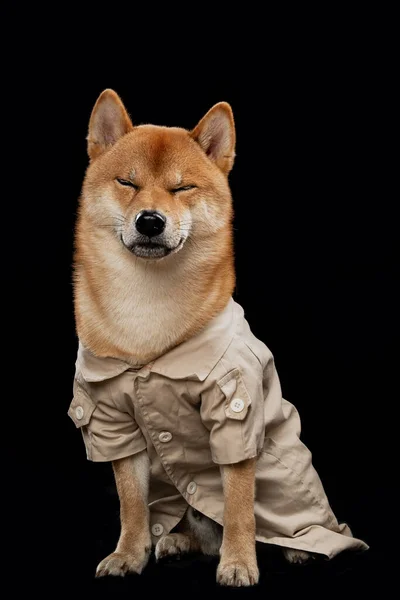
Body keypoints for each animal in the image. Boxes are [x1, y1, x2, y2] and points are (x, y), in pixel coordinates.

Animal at [70, 91, 368, 588]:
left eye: (182, 188)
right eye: (128, 182)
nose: (149, 221)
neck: (147, 320)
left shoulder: (234, 411)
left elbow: (239, 505)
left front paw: (239, 563)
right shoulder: (111, 419)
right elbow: (131, 503)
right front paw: (128, 554)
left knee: (300, 525)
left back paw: (298, 548)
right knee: (195, 528)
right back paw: (178, 541)